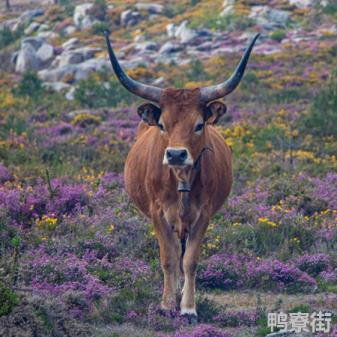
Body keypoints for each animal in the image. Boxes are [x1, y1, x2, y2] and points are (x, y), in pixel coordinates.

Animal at [103, 32, 258, 320]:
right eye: (162, 124)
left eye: (198, 125)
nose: (176, 154)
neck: (181, 179)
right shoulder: (157, 213)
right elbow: (168, 258)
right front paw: (167, 304)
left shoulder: (203, 214)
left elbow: (190, 260)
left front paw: (187, 307)